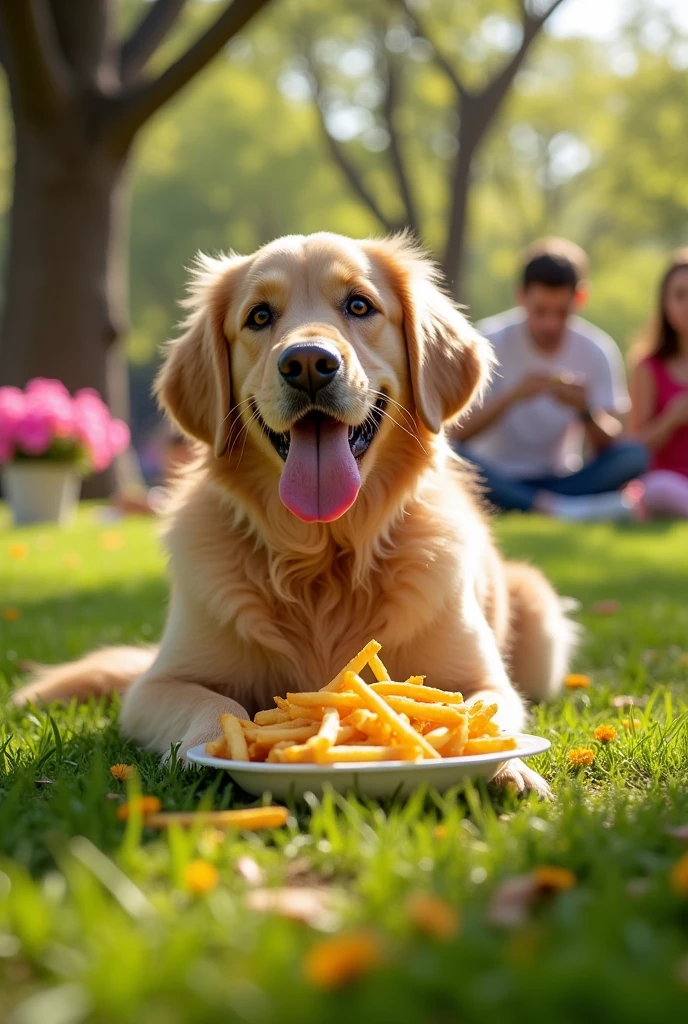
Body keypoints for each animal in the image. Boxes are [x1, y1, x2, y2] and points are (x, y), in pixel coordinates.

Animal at [16, 234, 573, 798]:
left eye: (359, 305)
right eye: (260, 316)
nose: (307, 363)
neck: (322, 557)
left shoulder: (484, 678)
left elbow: (478, 713)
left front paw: (508, 766)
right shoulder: (159, 683)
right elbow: (219, 704)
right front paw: (215, 754)